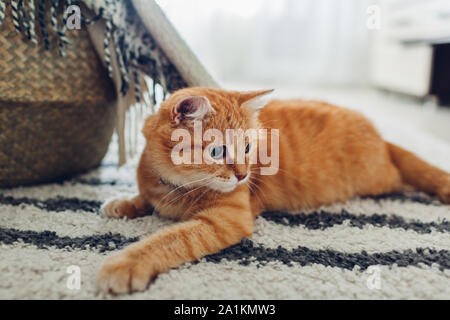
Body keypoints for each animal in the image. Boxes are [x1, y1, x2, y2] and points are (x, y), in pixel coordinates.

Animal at [97, 86, 450, 294]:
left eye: (248, 147)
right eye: (217, 152)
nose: (242, 176)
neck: (175, 187)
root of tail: (382, 137)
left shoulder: (227, 220)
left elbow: (170, 239)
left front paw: (126, 263)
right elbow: (143, 199)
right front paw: (123, 203)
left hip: (380, 179)